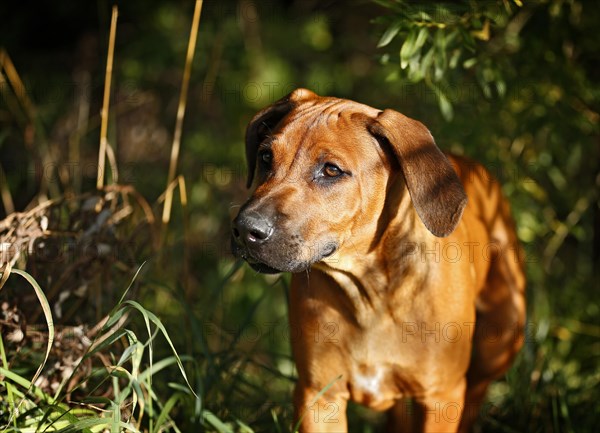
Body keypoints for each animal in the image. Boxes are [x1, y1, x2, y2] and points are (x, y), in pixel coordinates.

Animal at [230, 88, 524, 432]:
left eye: (331, 170)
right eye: (266, 157)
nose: (245, 229)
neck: (371, 294)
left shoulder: (441, 396)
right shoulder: (319, 395)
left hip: (500, 338)